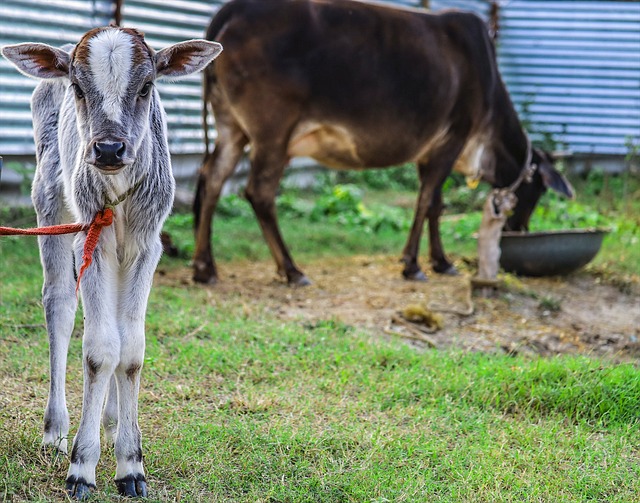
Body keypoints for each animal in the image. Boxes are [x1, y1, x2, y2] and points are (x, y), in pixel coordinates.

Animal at [2, 28, 221, 500]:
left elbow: (132, 349)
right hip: (49, 201)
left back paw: (114, 419)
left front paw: (131, 463)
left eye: (147, 86)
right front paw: (83, 466)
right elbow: (101, 350)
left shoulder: (147, 243)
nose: (108, 148)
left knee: (117, 325)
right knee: (61, 305)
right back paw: (56, 431)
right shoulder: (92, 236)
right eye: (78, 88)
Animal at [192, 0, 572, 286]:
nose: (520, 229)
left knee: (213, 177)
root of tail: (236, 7)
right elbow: (427, 201)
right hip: (273, 133)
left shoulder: (430, 150)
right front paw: (413, 265)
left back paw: (205, 268)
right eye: (538, 191)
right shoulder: (453, 138)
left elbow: (434, 203)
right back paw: (291, 270)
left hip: (232, 128)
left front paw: (440, 261)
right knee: (258, 192)